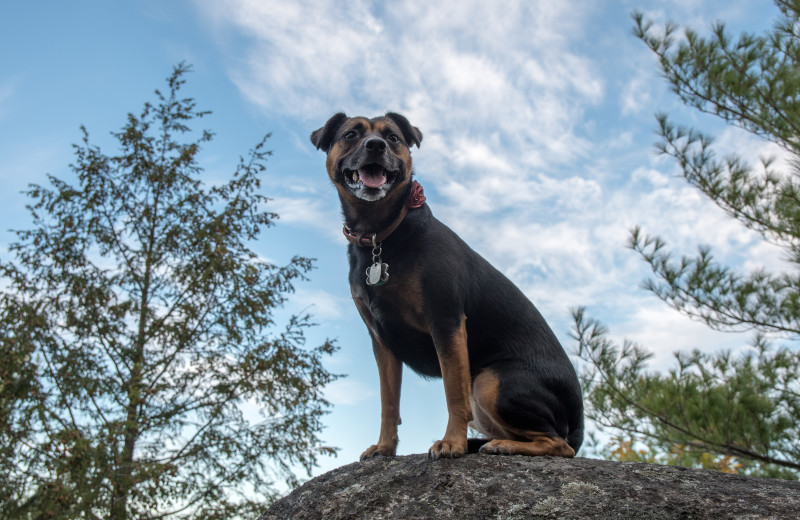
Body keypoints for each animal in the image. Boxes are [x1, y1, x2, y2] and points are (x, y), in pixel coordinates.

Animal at [310, 112, 580, 460]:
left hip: (489, 382)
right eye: (351, 134)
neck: (382, 233)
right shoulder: (382, 341)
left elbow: (453, 393)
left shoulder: (446, 321)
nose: (375, 145)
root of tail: (578, 420)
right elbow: (388, 403)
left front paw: (452, 442)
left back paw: (503, 446)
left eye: (393, 137)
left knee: (559, 444)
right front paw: (385, 447)